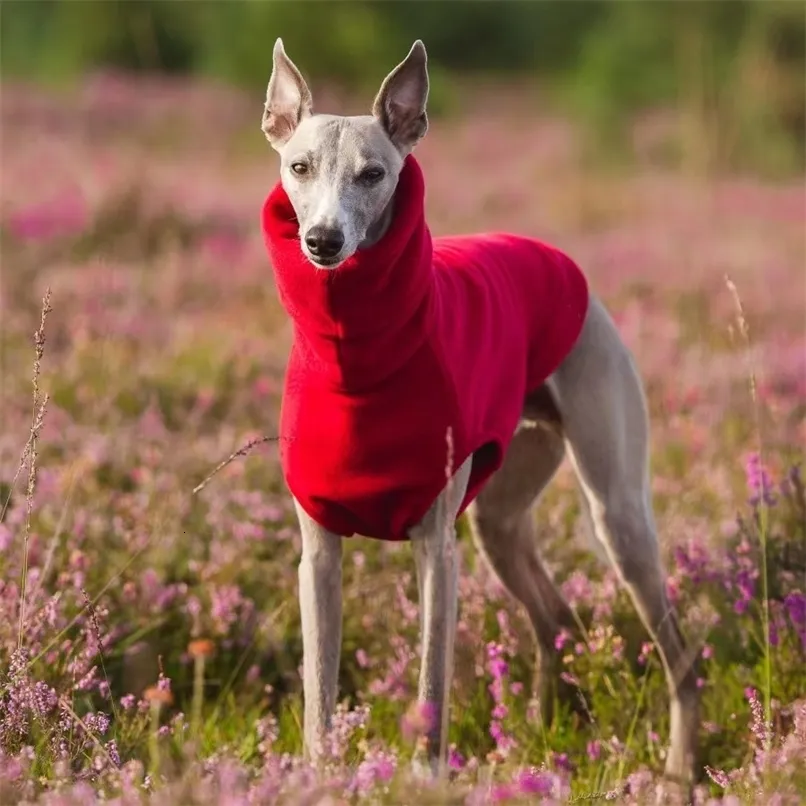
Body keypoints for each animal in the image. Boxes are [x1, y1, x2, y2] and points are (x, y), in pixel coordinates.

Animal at [260, 39, 700, 788]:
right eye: (299, 167)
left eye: (374, 174)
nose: (322, 241)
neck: (358, 360)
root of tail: (554, 255)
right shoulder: (317, 554)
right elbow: (319, 692)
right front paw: (319, 779)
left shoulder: (438, 550)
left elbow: (432, 686)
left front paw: (424, 780)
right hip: (502, 522)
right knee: (557, 620)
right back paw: (543, 734)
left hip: (617, 514)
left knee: (677, 651)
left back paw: (677, 767)